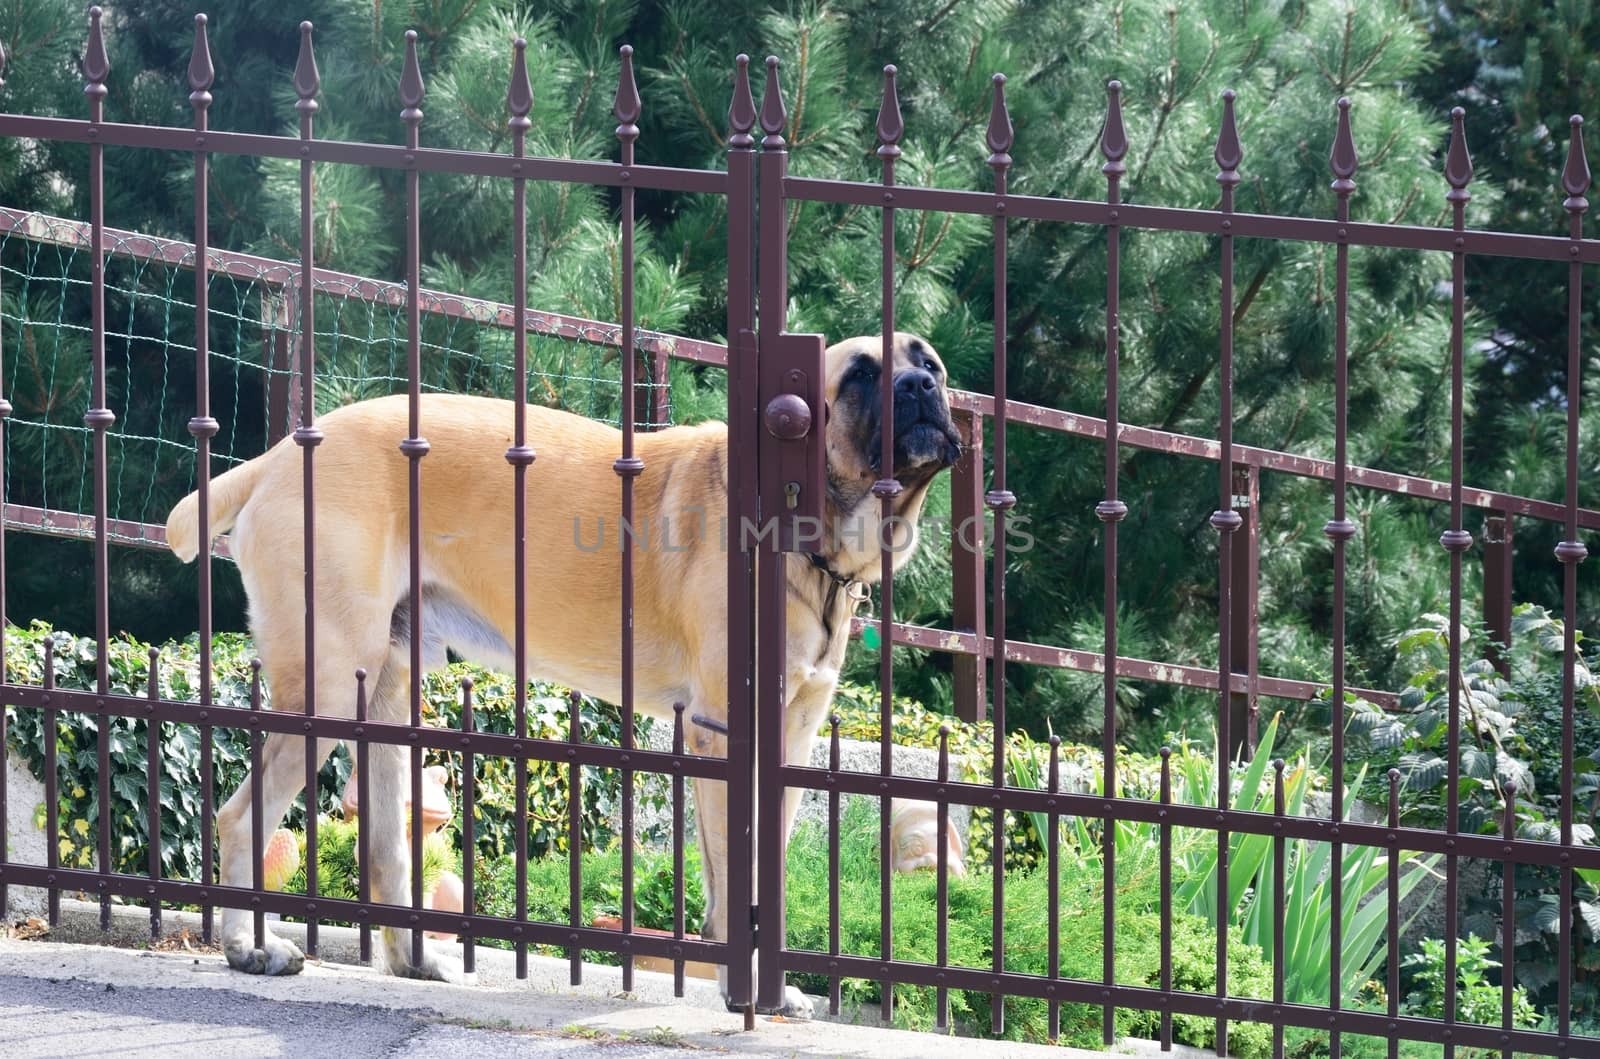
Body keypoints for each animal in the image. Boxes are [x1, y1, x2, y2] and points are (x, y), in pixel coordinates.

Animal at [165, 334, 960, 1023]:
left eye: (929, 364)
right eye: (860, 374)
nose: (920, 388)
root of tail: (277, 456)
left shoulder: (789, 743)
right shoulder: (722, 734)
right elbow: (734, 885)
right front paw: (744, 991)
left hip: (387, 694)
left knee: (386, 847)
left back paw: (419, 958)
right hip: (327, 682)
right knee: (241, 816)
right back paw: (250, 947)